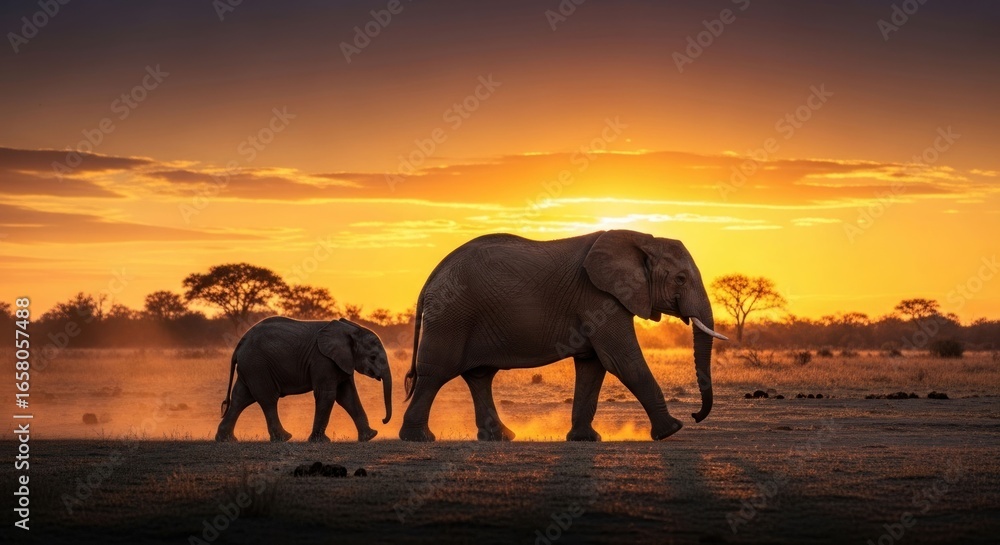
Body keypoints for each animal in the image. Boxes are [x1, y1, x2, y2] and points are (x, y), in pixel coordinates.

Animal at [215, 316, 393, 442]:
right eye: (373, 357)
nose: (383, 420)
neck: (351, 329)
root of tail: (240, 344)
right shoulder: (322, 360)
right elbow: (328, 395)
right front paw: (320, 441)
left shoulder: (342, 361)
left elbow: (348, 397)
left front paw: (370, 436)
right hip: (257, 366)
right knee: (267, 399)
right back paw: (284, 438)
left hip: (250, 368)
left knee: (241, 398)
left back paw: (226, 440)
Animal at [398, 229, 727, 442]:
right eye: (680, 279)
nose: (696, 415)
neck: (643, 241)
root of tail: (431, 278)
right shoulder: (599, 298)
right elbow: (622, 360)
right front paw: (672, 430)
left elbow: (593, 367)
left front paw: (585, 439)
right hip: (451, 315)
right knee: (435, 372)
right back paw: (419, 439)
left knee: (479, 376)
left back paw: (500, 437)